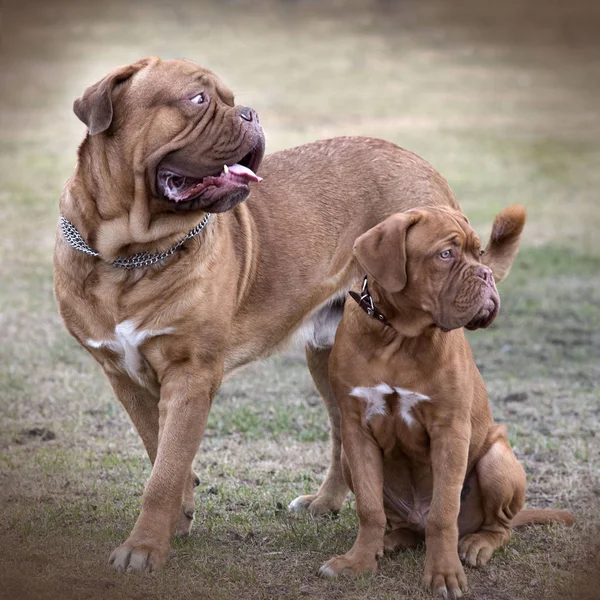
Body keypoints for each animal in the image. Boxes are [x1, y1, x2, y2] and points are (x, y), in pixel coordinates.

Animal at [56, 56, 504, 572]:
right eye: (198, 99)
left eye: (230, 99)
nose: (249, 112)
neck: (127, 258)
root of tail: (422, 163)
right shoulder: (122, 374)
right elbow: (160, 451)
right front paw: (178, 515)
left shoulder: (191, 375)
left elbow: (164, 470)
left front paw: (144, 547)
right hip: (329, 356)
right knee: (343, 432)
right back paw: (326, 503)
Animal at [322, 206, 576, 596]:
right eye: (445, 254)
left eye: (480, 253)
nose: (486, 274)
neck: (399, 337)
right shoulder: (356, 429)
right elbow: (368, 506)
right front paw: (358, 562)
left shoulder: (450, 431)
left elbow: (443, 513)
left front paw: (443, 574)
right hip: (351, 461)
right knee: (401, 524)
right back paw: (390, 541)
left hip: (497, 460)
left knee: (497, 527)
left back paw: (477, 544)